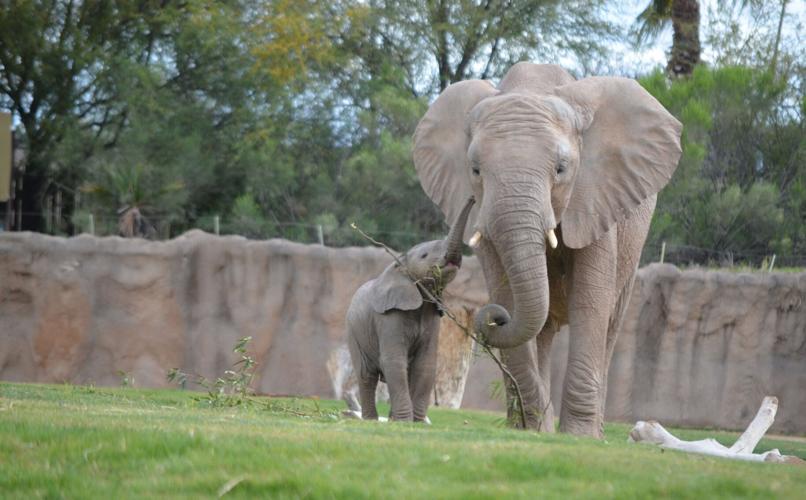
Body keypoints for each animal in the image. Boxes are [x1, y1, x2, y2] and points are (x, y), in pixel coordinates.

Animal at [345, 197, 475, 422]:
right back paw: (371, 420)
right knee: (366, 375)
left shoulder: (433, 314)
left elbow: (425, 364)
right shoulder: (388, 318)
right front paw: (405, 421)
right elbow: (393, 362)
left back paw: (390, 419)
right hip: (355, 333)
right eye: (424, 255)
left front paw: (417, 422)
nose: (473, 198)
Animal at [412, 62, 682, 437]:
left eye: (561, 169)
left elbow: (590, 303)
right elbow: (510, 295)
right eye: (475, 171)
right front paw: (531, 429)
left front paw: (578, 437)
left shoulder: (596, 196)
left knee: (610, 325)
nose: (490, 316)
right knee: (541, 329)